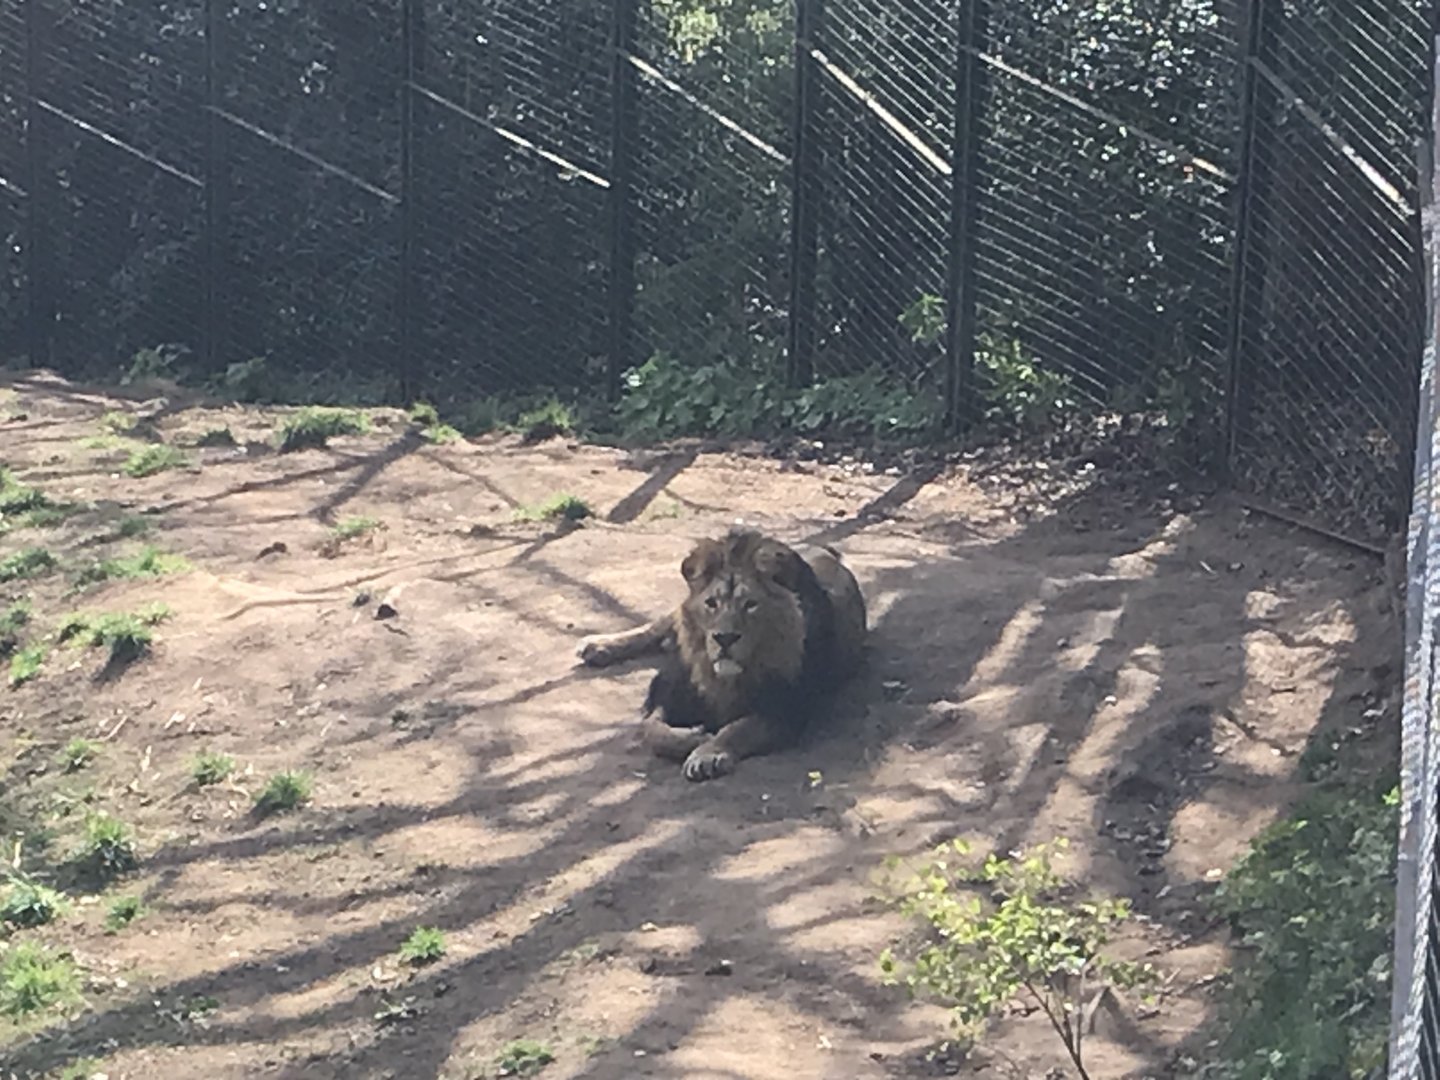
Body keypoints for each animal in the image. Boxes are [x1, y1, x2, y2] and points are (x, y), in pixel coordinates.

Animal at [577, 528, 867, 781]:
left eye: (750, 605)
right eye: (711, 603)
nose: (725, 638)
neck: (723, 680)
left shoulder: (784, 708)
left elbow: (737, 729)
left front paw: (707, 754)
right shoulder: (671, 693)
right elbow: (652, 730)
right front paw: (695, 737)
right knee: (656, 626)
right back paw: (597, 646)